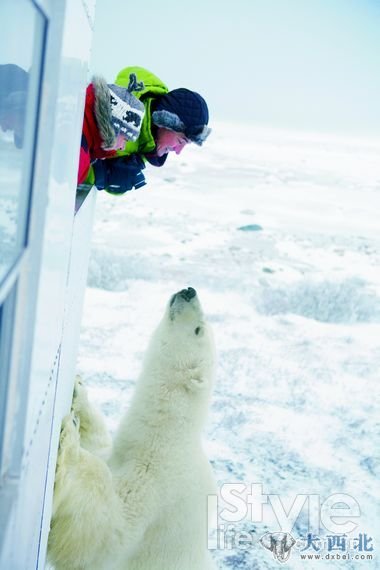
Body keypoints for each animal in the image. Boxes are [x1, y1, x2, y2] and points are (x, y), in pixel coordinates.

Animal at [47, 288, 217, 568]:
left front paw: (70, 446)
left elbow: (111, 533)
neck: (162, 434)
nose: (189, 291)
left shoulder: (158, 483)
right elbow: (100, 443)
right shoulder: (121, 451)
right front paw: (78, 392)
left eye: (198, 330)